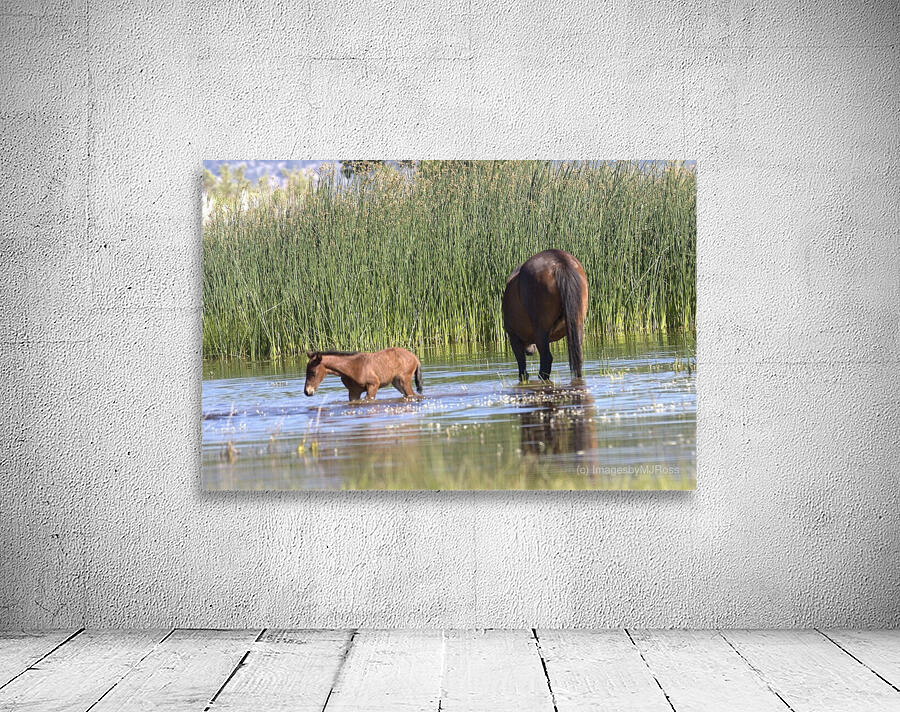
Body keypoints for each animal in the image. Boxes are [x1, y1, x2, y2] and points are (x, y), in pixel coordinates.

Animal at [502, 249, 589, 381]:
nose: (530, 351)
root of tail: (559, 261)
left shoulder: (514, 337)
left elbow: (522, 371)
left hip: (540, 331)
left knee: (546, 360)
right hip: (577, 325)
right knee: (577, 356)